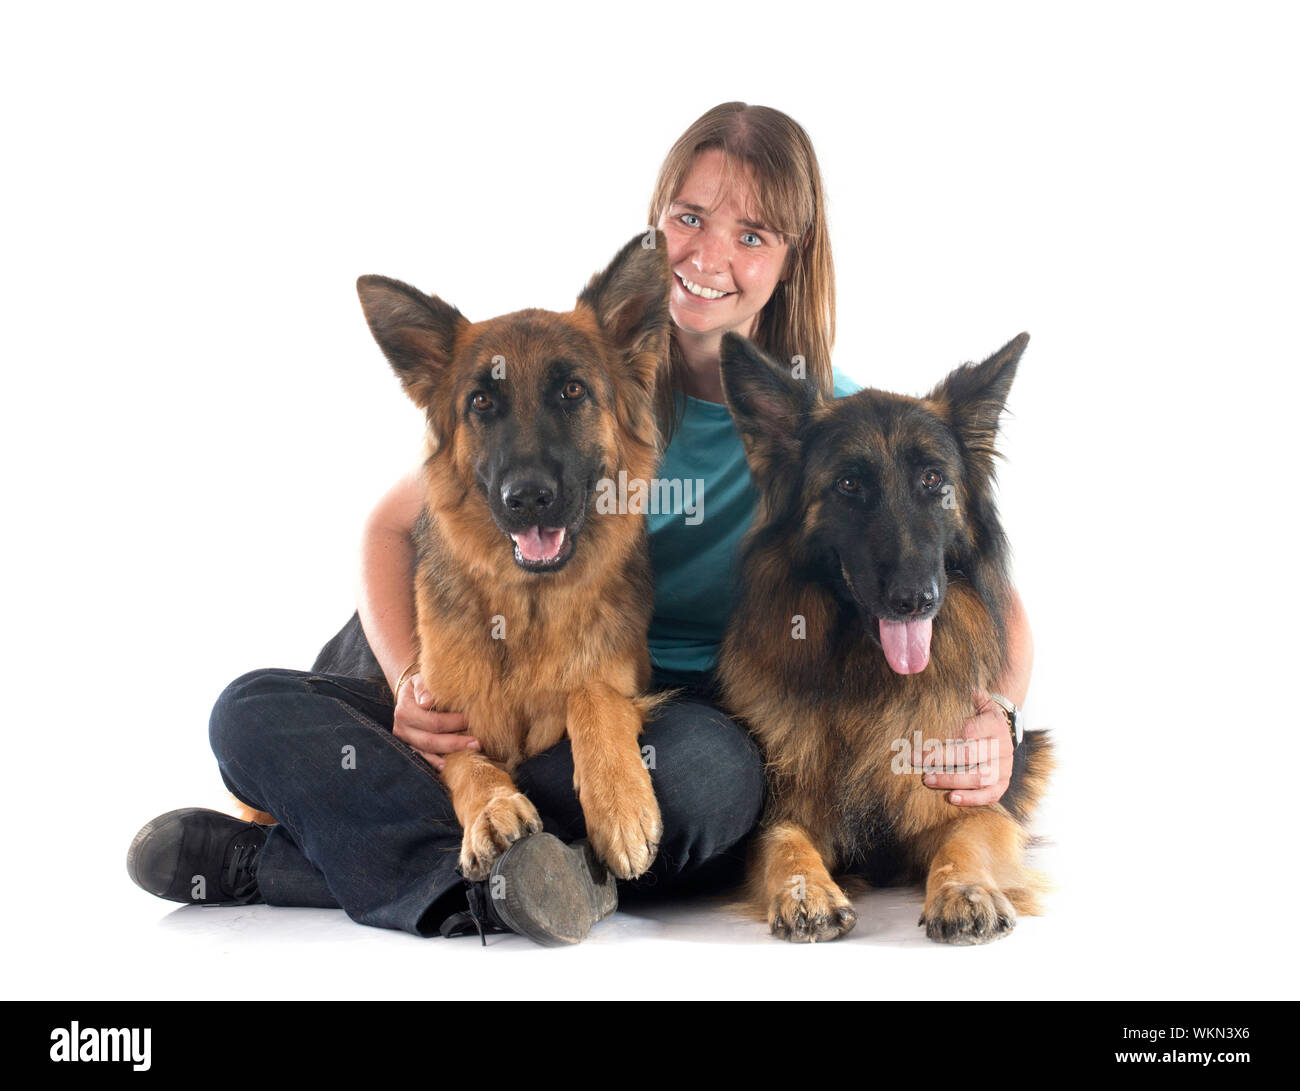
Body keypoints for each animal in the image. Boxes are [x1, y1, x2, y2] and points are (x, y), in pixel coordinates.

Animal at [340, 234, 670, 884]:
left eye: (572, 391)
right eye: (481, 401)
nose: (527, 498)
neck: (528, 608)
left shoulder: (620, 683)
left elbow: (591, 694)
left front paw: (621, 803)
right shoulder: (446, 724)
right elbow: (468, 763)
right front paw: (494, 807)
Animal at [717, 332, 1050, 946]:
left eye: (933, 481)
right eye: (850, 484)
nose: (914, 598)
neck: (869, 679)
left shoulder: (967, 801)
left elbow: (968, 841)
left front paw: (965, 891)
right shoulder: (786, 813)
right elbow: (784, 845)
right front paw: (806, 891)